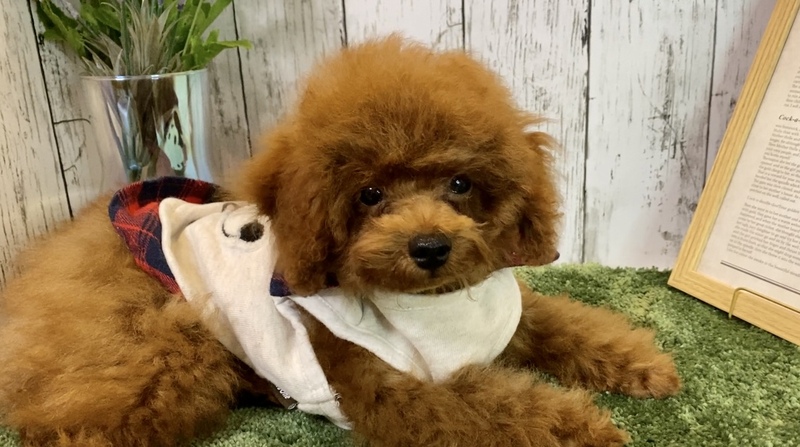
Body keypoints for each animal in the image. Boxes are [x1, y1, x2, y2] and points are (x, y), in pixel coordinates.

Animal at [0, 36, 680, 447]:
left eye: (460, 183)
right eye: (369, 195)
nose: (429, 247)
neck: (434, 304)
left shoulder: (509, 317)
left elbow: (570, 323)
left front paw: (642, 365)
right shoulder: (396, 394)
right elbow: (493, 407)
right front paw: (581, 424)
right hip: (157, 343)